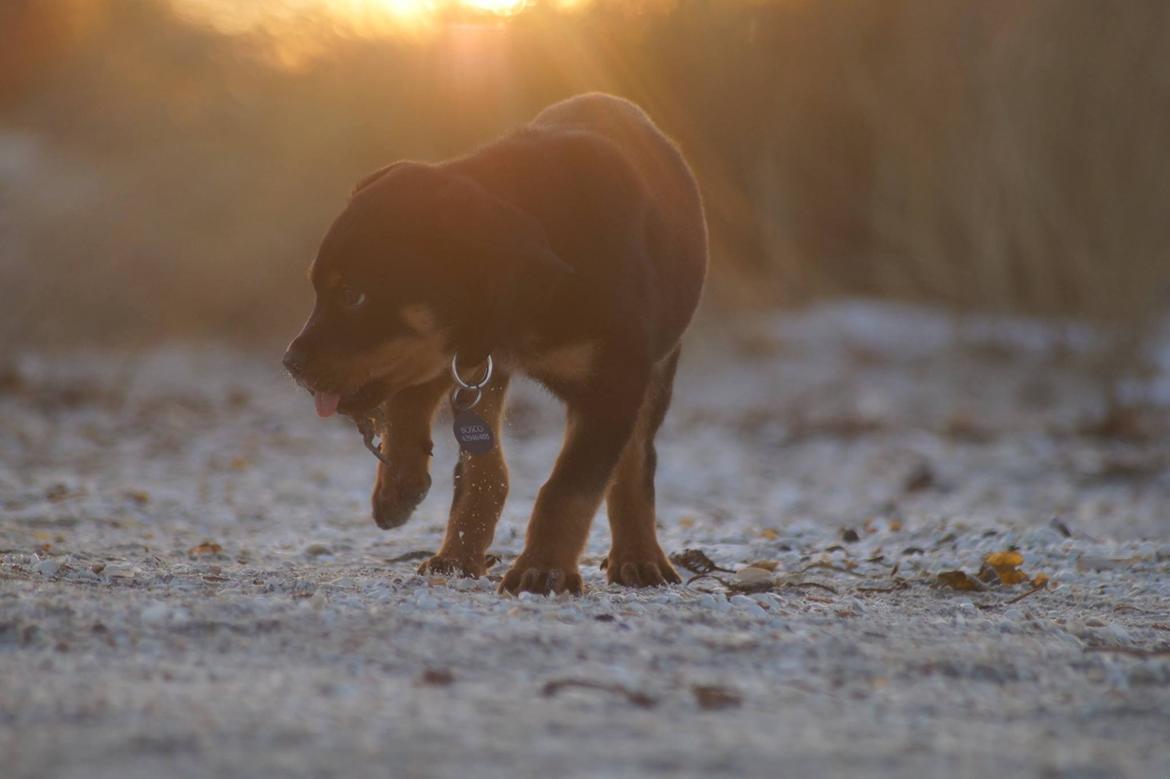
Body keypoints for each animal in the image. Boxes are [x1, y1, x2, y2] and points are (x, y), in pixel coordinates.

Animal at [285, 94, 702, 591]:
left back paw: (639, 557)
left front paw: (543, 569)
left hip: (655, 366)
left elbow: (568, 488)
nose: (290, 363)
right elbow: (477, 466)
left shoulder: (615, 382)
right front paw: (413, 496)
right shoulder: (469, 356)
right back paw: (429, 520)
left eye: (353, 295)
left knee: (636, 459)